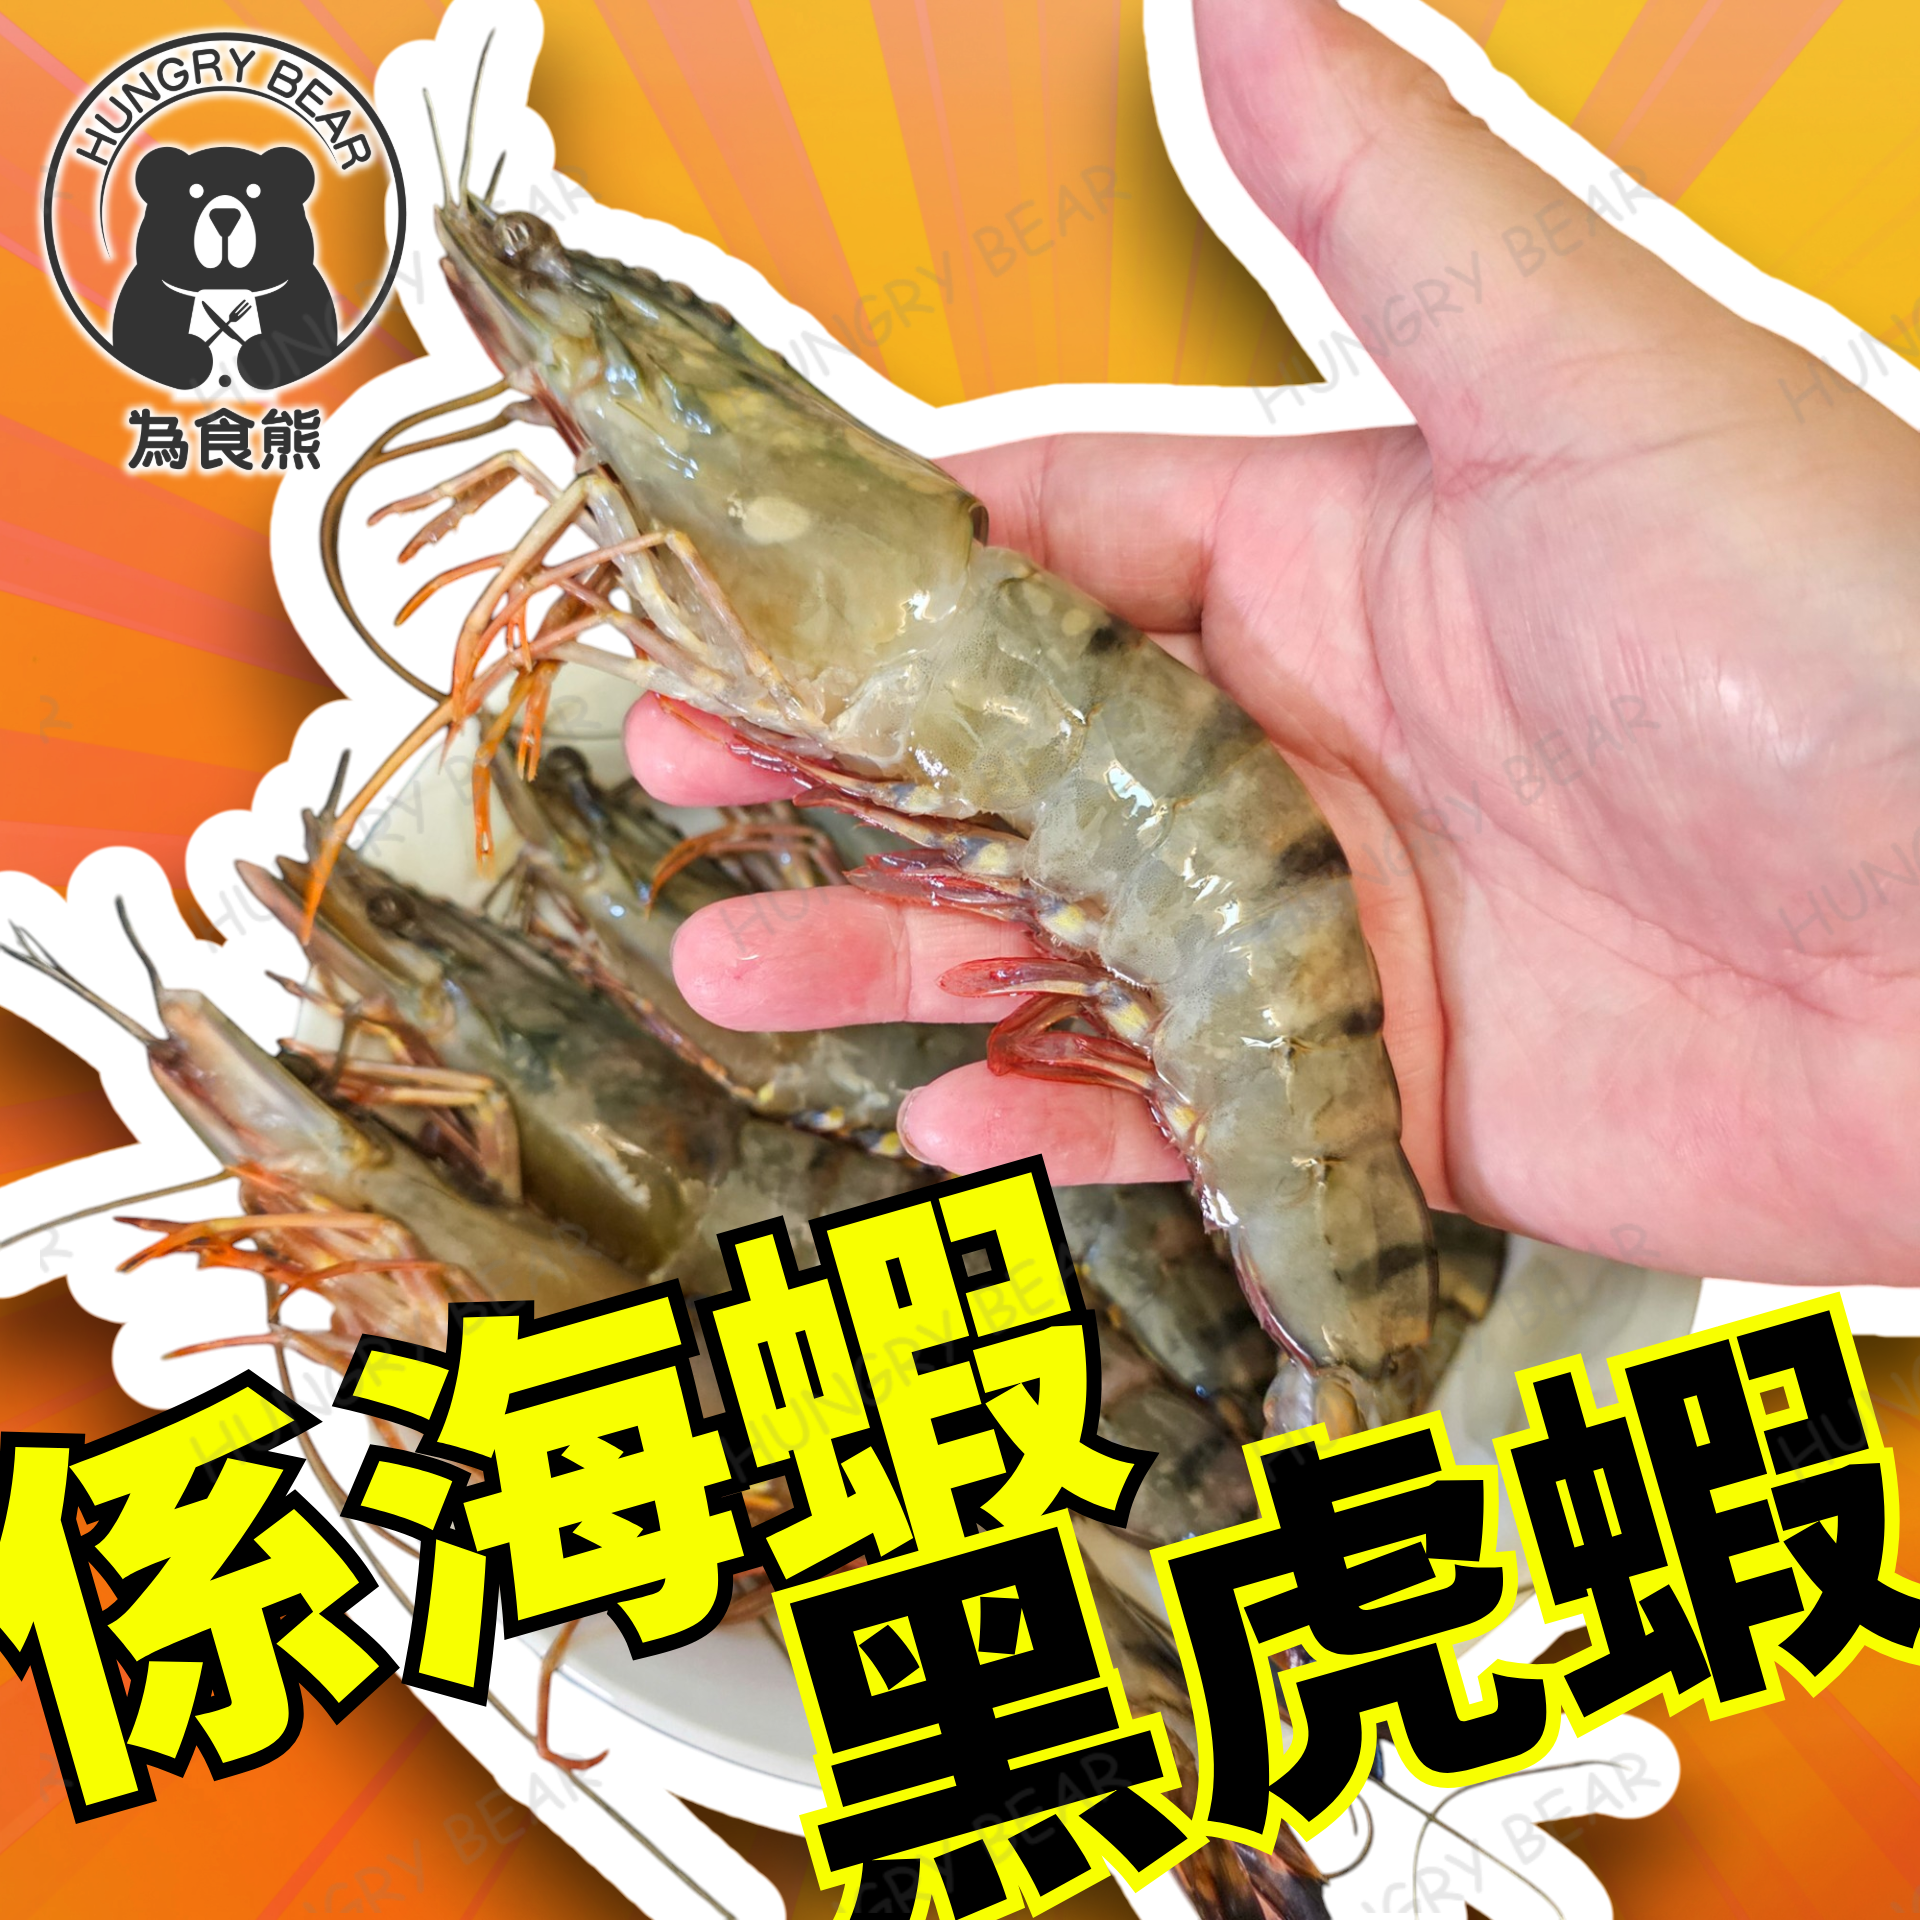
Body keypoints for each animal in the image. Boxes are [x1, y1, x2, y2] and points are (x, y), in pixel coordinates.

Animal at [109, 145, 338, 392]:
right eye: (194, 191)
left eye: (255, 191)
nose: (225, 216)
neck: (224, 288)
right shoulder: (148, 295)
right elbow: (146, 345)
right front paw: (193, 352)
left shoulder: (300, 296)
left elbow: (305, 340)